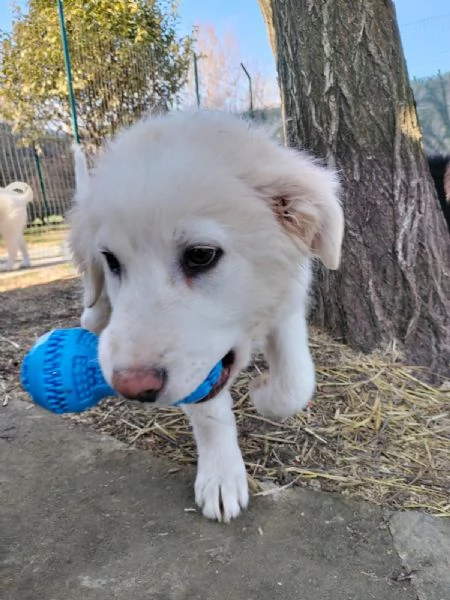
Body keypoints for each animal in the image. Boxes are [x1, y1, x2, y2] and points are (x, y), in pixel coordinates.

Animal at [69, 110, 344, 524]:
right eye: (112, 261)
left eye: (201, 255)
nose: (131, 388)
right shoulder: (197, 370)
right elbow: (211, 416)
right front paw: (221, 478)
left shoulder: (289, 304)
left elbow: (296, 383)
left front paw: (263, 393)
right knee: (93, 314)